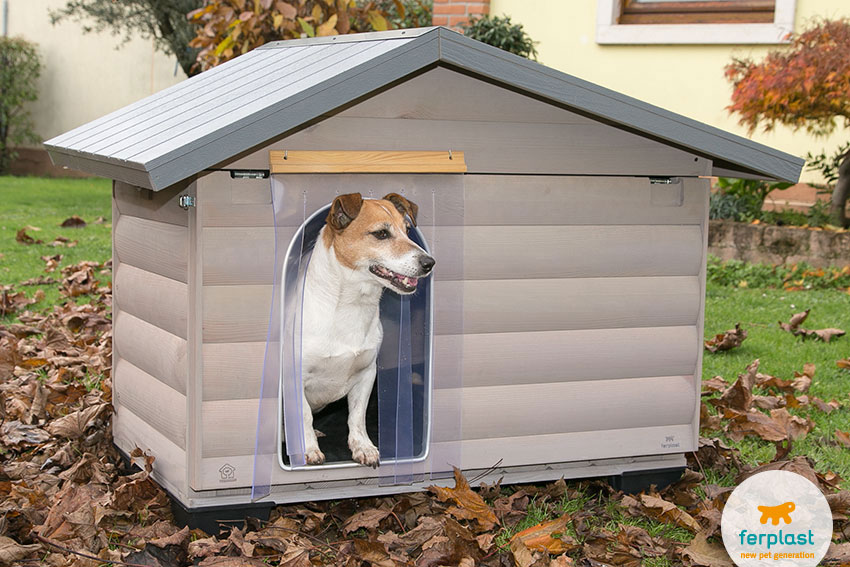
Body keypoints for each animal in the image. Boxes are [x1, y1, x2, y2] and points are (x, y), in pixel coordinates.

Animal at [298, 193, 434, 468]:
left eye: (407, 231)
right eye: (381, 234)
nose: (430, 263)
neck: (351, 306)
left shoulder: (366, 373)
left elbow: (357, 416)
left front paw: (363, 447)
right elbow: (304, 415)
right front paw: (308, 447)